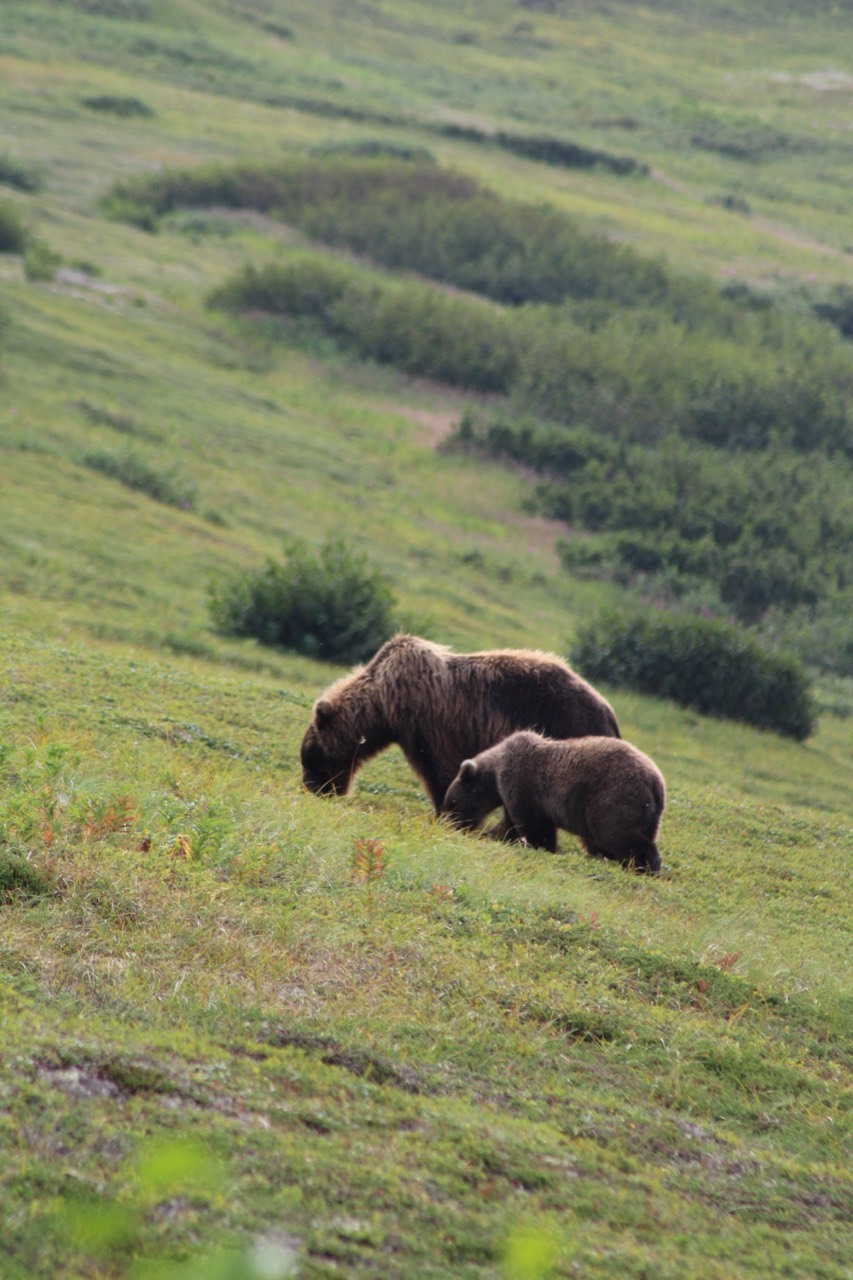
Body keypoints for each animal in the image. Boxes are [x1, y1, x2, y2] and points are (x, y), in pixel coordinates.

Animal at [300, 634, 620, 814]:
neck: (384, 701)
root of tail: (608, 711)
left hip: (567, 722)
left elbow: (438, 767)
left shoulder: (428, 723)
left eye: (311, 757)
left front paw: (444, 808)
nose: (311, 788)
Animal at [442, 729, 665, 873]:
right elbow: (511, 824)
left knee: (614, 832)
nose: (448, 822)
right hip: (648, 813)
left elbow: (532, 824)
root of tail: (655, 780)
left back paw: (645, 864)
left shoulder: (522, 783)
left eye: (452, 802)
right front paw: (491, 835)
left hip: (613, 794)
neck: (496, 772)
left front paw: (540, 846)